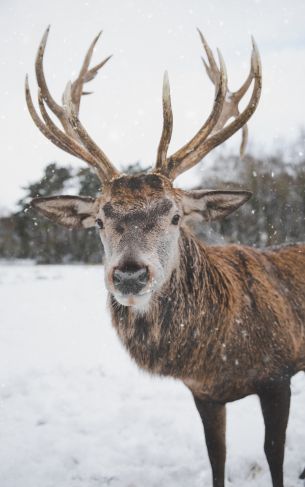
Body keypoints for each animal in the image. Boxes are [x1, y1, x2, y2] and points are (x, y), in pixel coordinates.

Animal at [24, 27, 305, 487]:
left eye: (175, 215)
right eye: (100, 220)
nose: (130, 275)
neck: (218, 353)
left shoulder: (278, 372)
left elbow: (274, 455)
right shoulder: (204, 393)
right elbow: (217, 456)